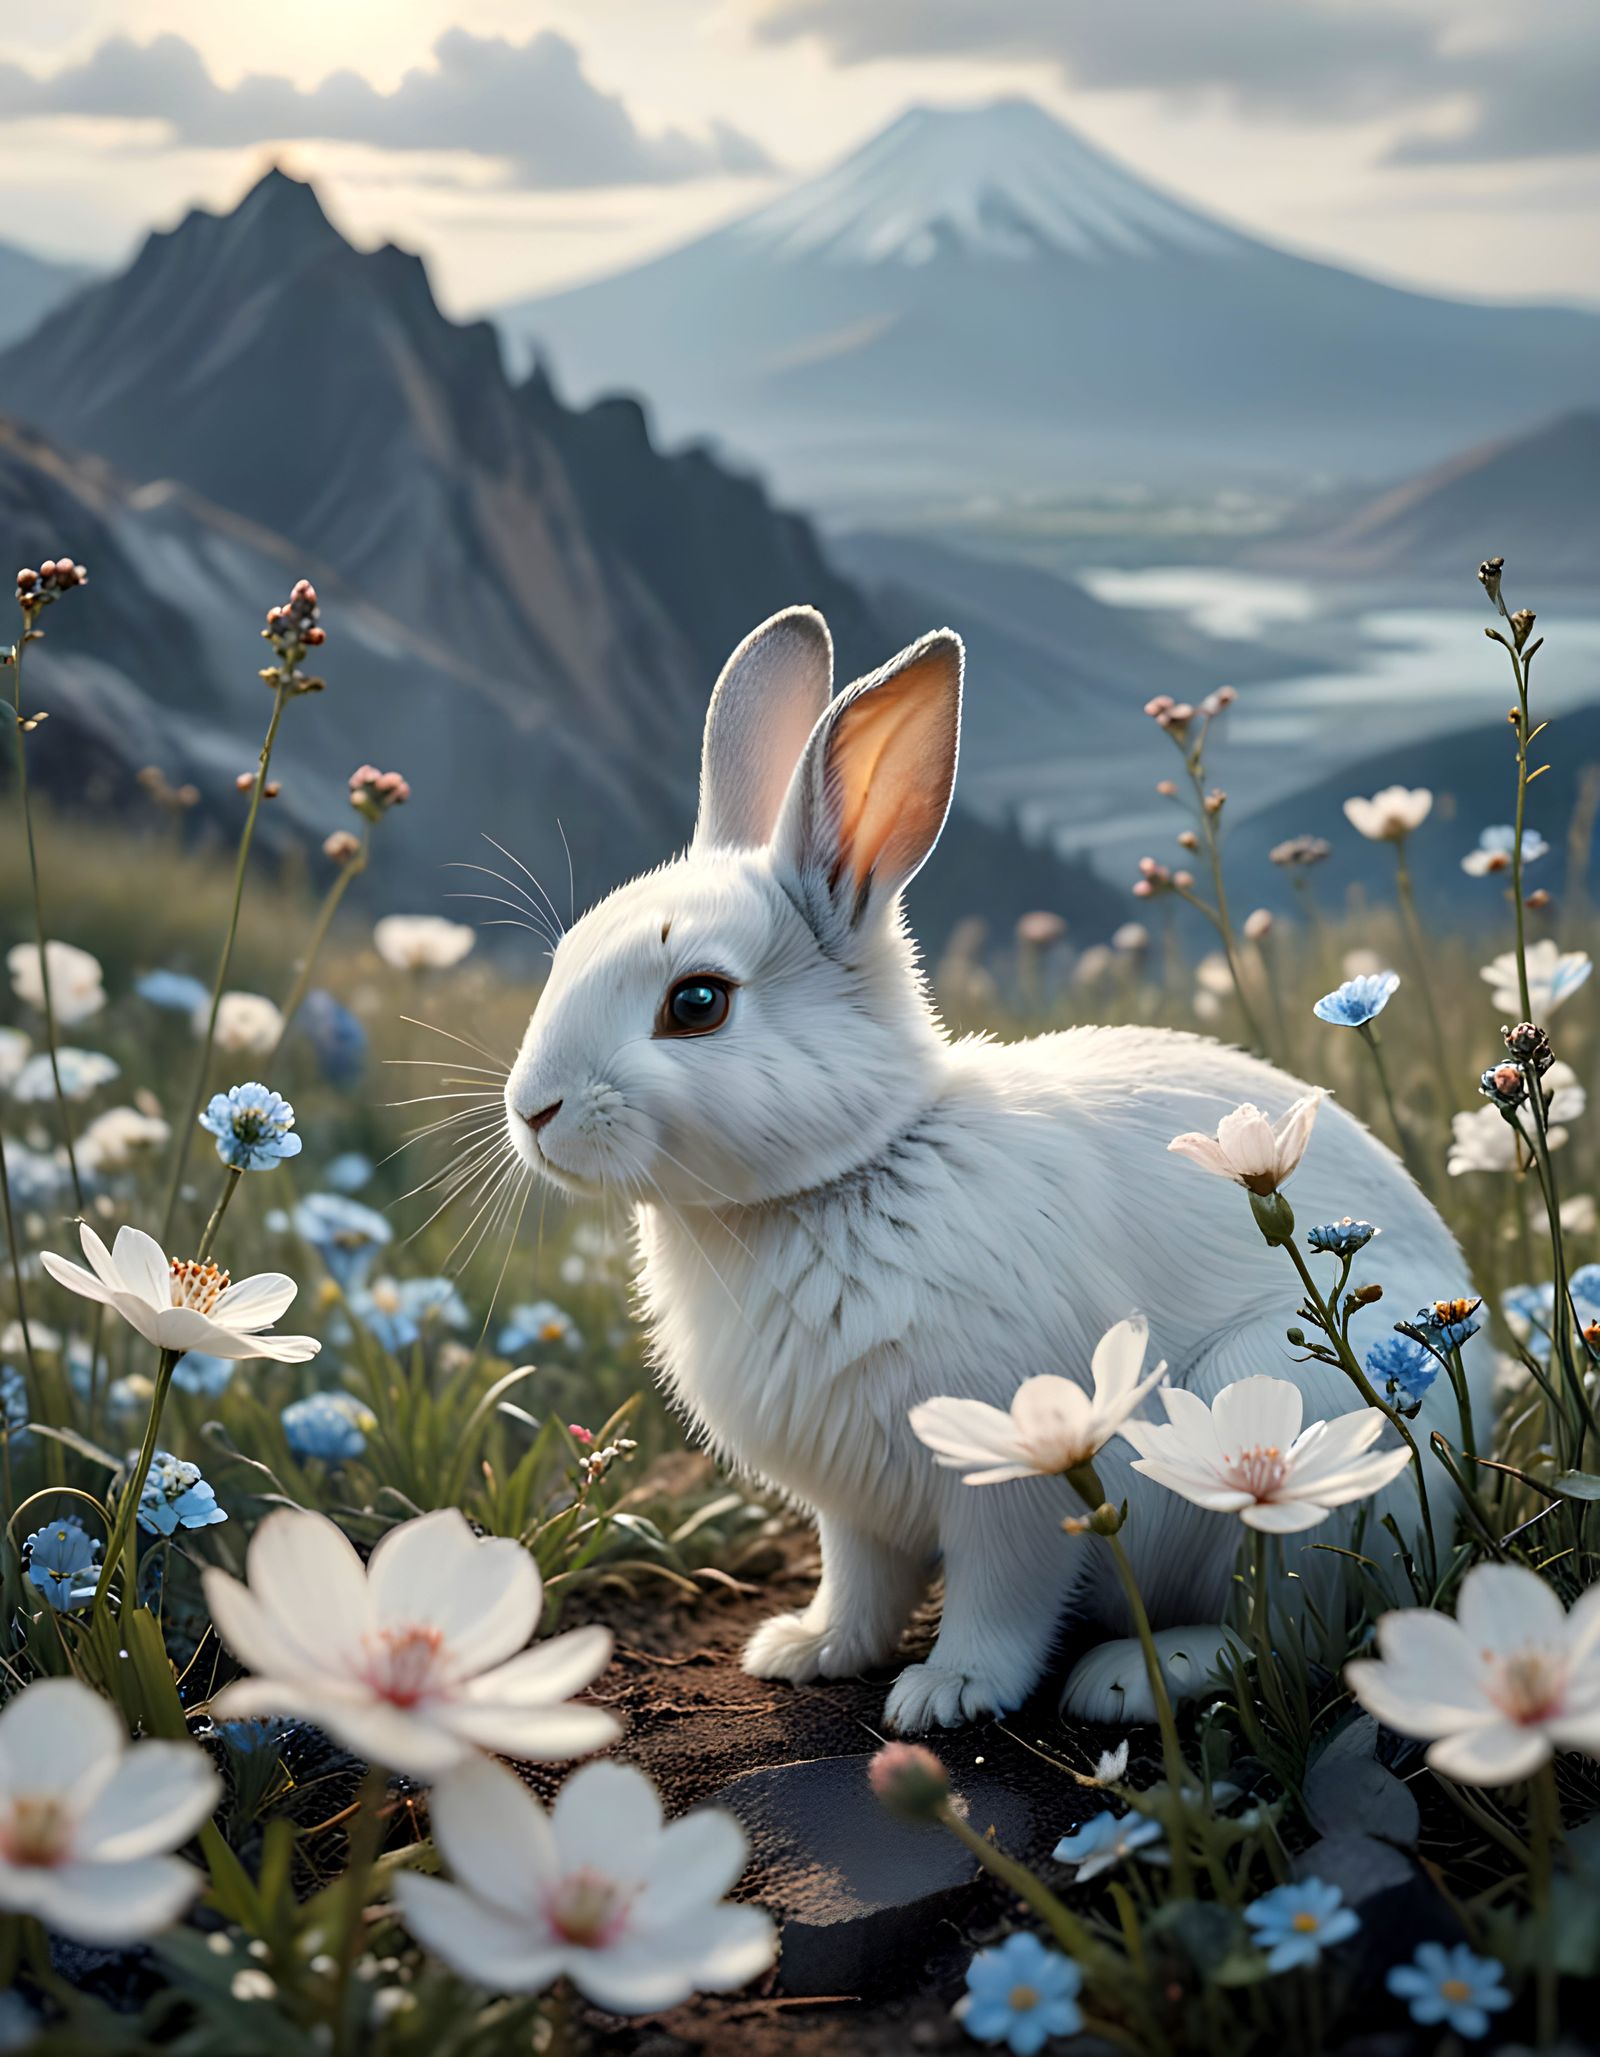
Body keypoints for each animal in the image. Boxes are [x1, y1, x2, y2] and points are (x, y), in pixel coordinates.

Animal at [503, 606, 1484, 1731]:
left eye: (697, 1001)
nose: (532, 1109)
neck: (843, 1175)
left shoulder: (1018, 1478)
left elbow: (1003, 1595)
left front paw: (946, 1692)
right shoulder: (853, 1506)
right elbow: (860, 1581)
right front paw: (807, 1648)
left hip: (1282, 1436)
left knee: (1296, 1628)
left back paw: (1138, 1674)